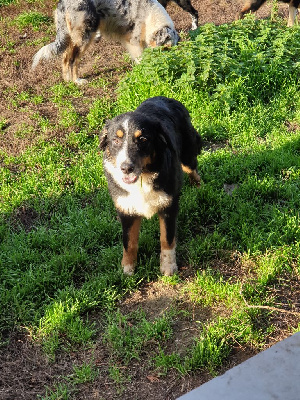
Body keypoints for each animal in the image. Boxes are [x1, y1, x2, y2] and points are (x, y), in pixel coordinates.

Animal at [31, 0, 179, 83]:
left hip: (73, 38)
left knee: (65, 57)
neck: (150, 16)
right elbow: (141, 60)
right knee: (73, 59)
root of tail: (62, 4)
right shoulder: (134, 41)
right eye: (165, 48)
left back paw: (67, 80)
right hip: (85, 37)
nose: (167, 65)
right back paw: (77, 81)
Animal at [100, 97, 202, 276]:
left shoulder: (168, 206)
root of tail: (165, 98)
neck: (142, 178)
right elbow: (129, 242)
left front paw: (168, 267)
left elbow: (167, 239)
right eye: (116, 140)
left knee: (193, 171)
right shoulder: (126, 210)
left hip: (188, 156)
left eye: (143, 139)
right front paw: (127, 269)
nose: (126, 168)